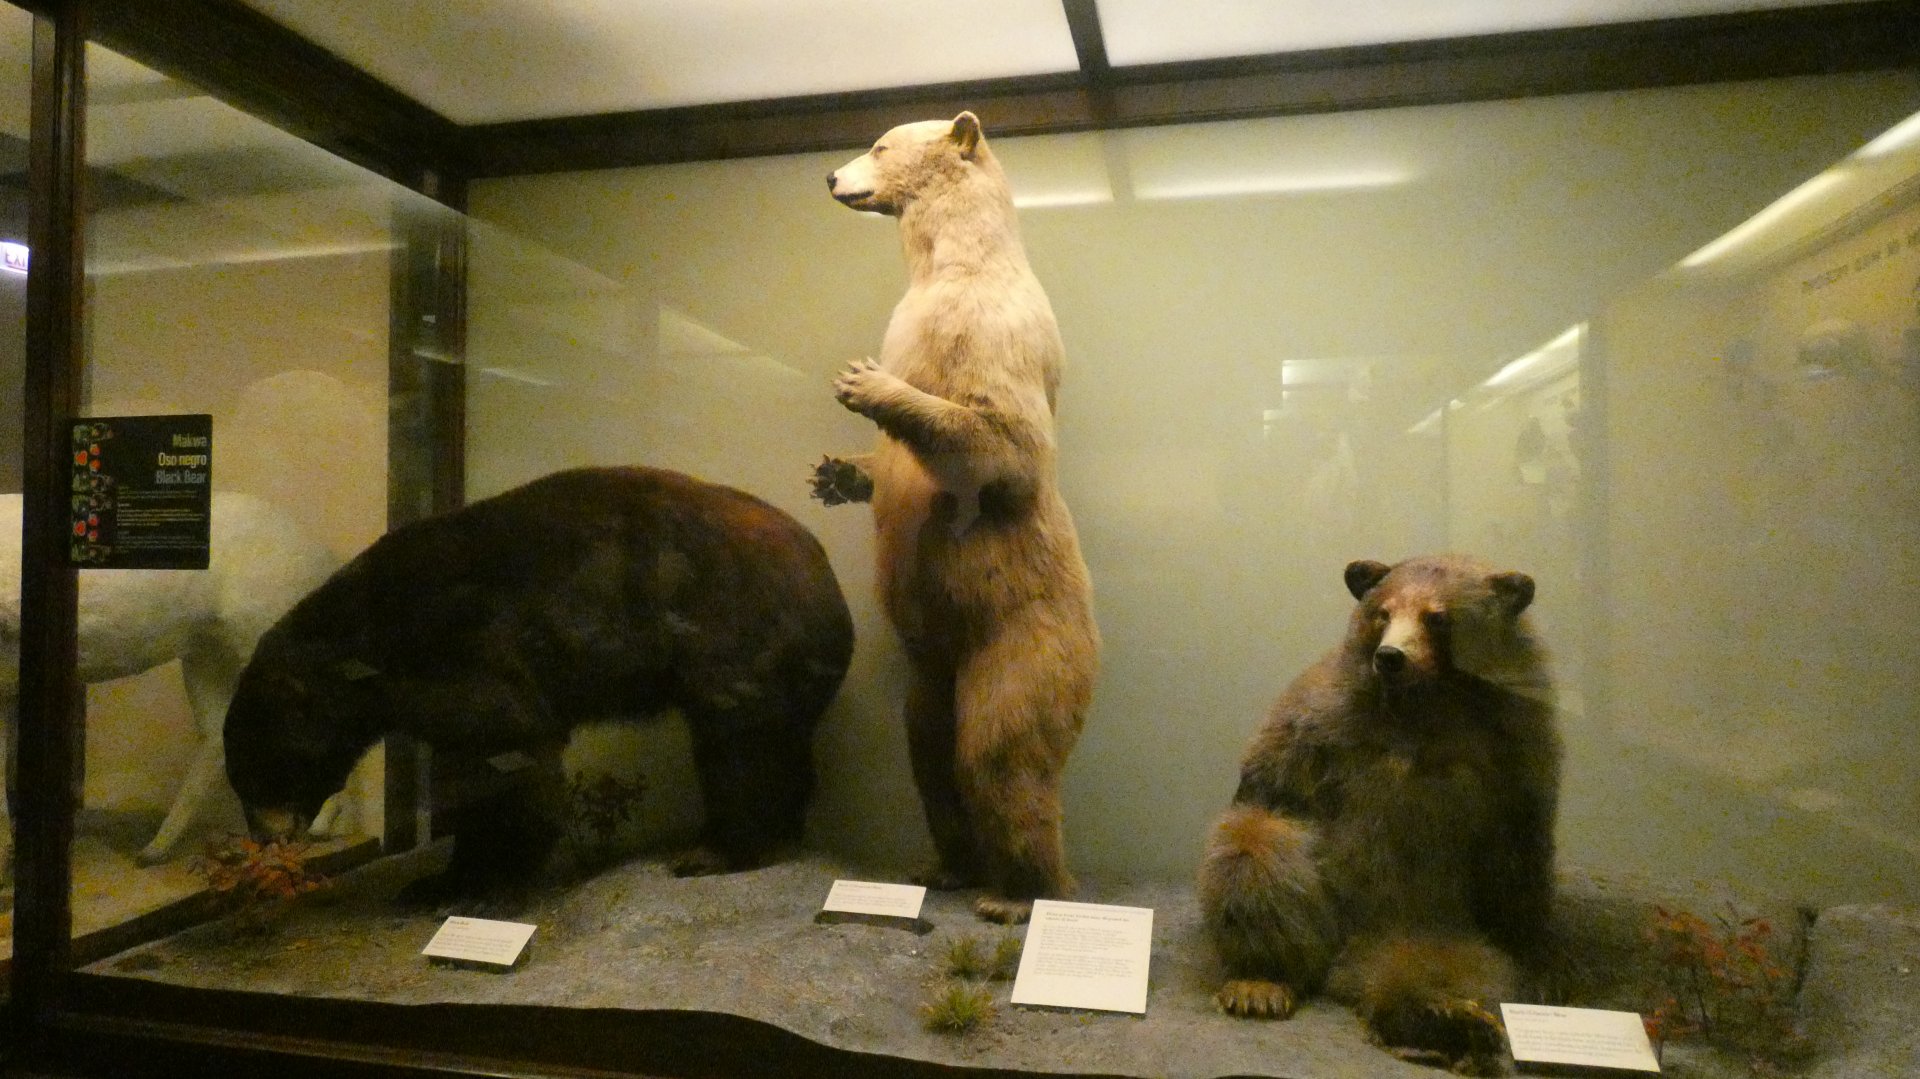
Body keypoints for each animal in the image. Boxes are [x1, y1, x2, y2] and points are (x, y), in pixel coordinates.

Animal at [222, 465, 854, 909]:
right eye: (241, 776)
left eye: (264, 770)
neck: (376, 639)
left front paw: (490, 886)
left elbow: (512, 747)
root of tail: (826, 574)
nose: (266, 839)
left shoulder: (466, 646)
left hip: (737, 639)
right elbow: (469, 769)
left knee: (741, 748)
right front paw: (436, 882)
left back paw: (716, 850)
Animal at [817, 111, 1100, 924]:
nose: (831, 175)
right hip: (930, 666)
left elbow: (1005, 442)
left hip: (1020, 635)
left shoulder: (989, 326)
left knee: (1002, 751)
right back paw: (943, 865)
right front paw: (837, 473)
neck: (951, 265)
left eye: (878, 145)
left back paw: (1019, 893)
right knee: (929, 751)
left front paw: (868, 382)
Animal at [1197, 554, 1560, 1075]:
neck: (1424, 705)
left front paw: (1538, 967)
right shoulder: (1322, 716)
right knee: (1256, 853)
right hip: (1324, 906)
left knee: (1452, 966)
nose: (1390, 657)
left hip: (1431, 923)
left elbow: (1518, 856)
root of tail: (1353, 954)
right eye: (1383, 611)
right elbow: (1273, 783)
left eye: (1437, 616)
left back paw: (1443, 1019)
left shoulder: (1516, 744)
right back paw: (1260, 984)